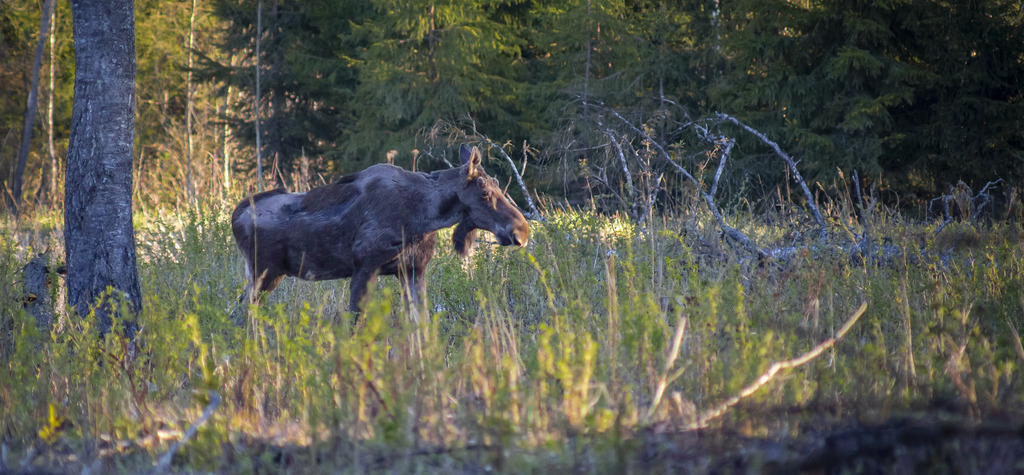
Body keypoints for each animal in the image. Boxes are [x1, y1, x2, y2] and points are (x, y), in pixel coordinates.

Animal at [232, 144, 532, 323]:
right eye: (484, 192)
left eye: (497, 185)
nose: (522, 231)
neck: (423, 216)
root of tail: (235, 216)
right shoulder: (365, 267)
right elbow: (355, 324)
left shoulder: (412, 270)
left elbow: (421, 324)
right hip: (264, 272)